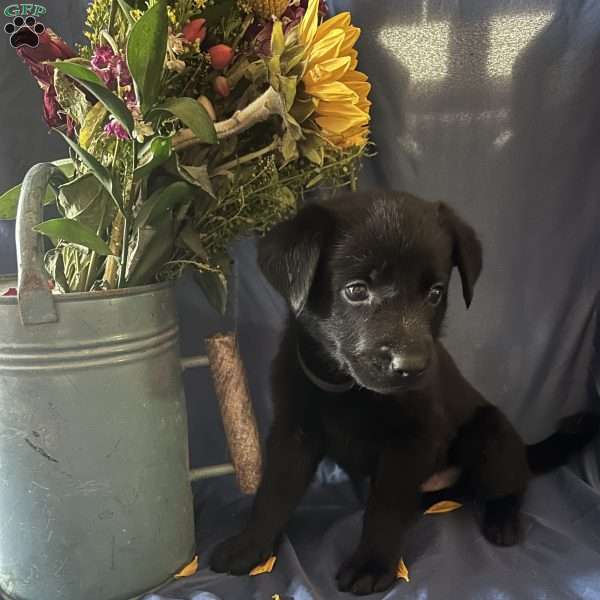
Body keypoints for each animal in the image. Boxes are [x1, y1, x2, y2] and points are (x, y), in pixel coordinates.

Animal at [209, 192, 596, 596]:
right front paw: (250, 545)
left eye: (435, 293)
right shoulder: (293, 432)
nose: (411, 366)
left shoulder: (412, 439)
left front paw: (372, 563)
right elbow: (274, 492)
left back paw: (502, 519)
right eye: (356, 290)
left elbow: (386, 506)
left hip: (490, 431)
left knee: (510, 483)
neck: (348, 388)